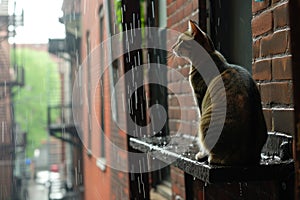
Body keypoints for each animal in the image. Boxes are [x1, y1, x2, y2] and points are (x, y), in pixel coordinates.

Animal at [172, 20, 268, 165]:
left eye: (180, 41)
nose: (173, 47)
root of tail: (246, 157)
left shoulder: (199, 100)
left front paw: (201, 153)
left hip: (205, 122)